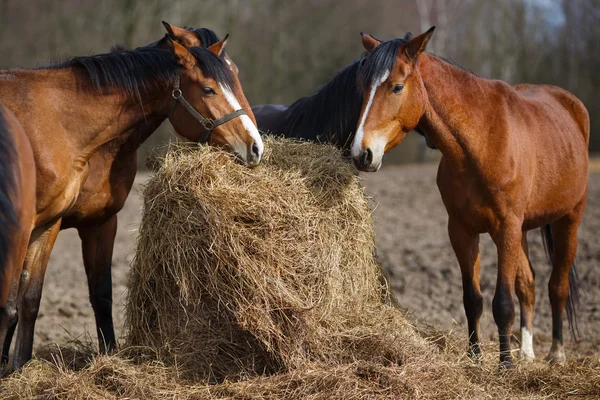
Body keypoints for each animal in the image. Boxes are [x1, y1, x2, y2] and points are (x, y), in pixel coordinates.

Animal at [352, 26, 592, 368]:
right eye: (362, 87)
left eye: (396, 87)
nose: (362, 153)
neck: (482, 142)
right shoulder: (462, 230)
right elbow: (472, 299)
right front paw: (475, 357)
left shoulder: (505, 228)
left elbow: (502, 301)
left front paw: (504, 366)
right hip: (522, 230)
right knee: (528, 284)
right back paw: (527, 353)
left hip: (568, 219)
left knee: (557, 285)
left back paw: (556, 353)